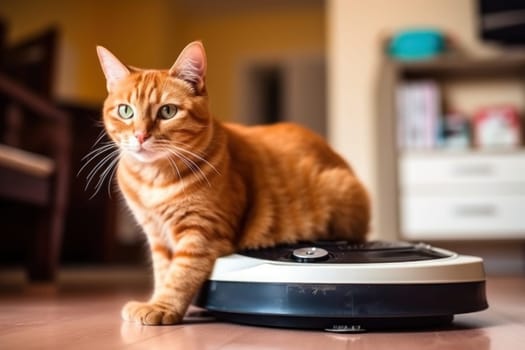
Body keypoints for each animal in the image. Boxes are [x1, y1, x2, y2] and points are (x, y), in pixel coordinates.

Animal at [96, 41, 370, 326]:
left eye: (167, 111)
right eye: (125, 111)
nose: (140, 135)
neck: (153, 180)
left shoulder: (202, 233)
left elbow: (179, 275)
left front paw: (162, 307)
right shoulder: (157, 237)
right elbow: (163, 272)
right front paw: (156, 301)